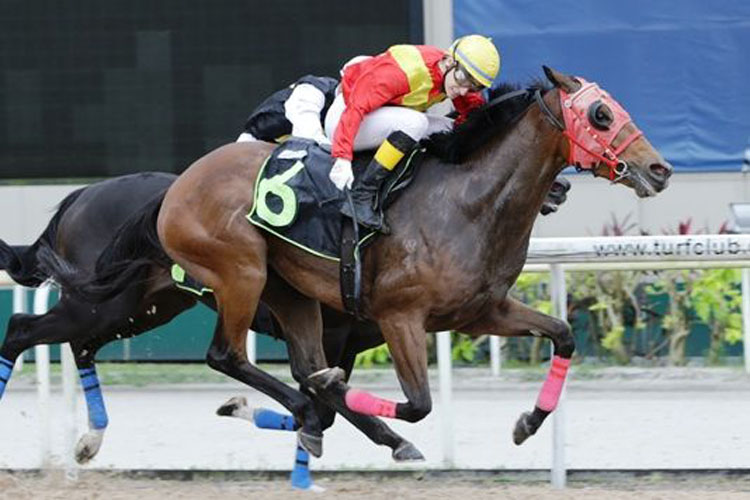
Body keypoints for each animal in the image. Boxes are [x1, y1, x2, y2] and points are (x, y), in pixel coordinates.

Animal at [41, 66, 672, 458]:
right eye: (600, 114)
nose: (659, 169)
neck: (465, 201)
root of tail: (175, 189)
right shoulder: (398, 317)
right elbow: (417, 405)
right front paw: (351, 413)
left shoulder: (480, 312)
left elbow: (563, 334)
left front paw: (526, 424)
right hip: (231, 274)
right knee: (222, 354)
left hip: (269, 293)